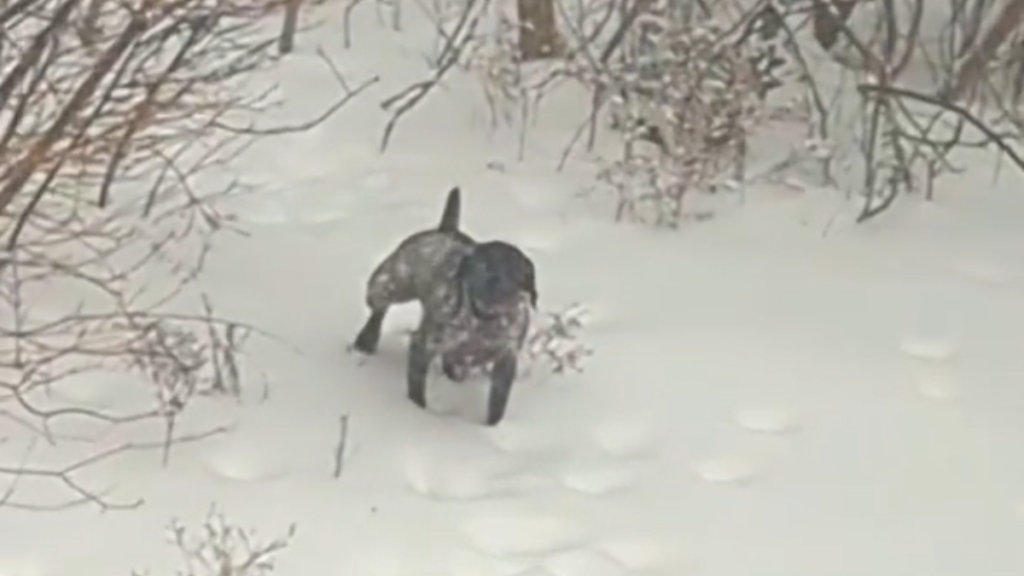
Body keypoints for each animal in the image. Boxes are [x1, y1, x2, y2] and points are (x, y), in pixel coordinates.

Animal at [352, 186, 536, 424]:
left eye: (516, 273)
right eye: (483, 266)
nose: (501, 289)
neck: (483, 321)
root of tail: (445, 229)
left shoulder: (505, 361)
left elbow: (497, 405)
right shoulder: (423, 346)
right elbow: (416, 391)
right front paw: (416, 413)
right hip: (387, 285)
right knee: (379, 310)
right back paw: (367, 339)